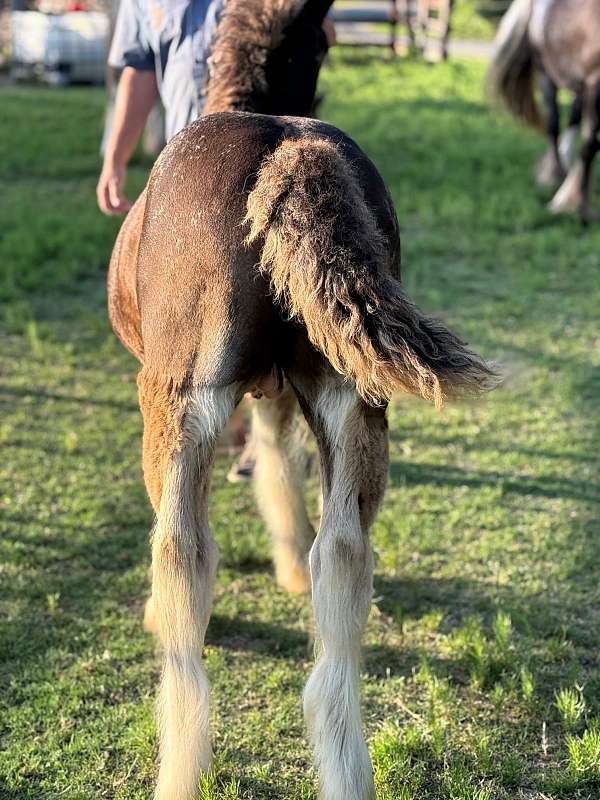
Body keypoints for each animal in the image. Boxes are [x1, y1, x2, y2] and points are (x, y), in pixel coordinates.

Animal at [107, 1, 495, 797]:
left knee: (183, 551)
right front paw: (286, 569)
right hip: (354, 401)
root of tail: (289, 149)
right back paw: (345, 763)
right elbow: (279, 467)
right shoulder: (280, 392)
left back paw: (180, 761)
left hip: (179, 401)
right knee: (342, 556)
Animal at [487, 0, 600, 221]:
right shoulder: (595, 84)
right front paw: (578, 208)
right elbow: (589, 147)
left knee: (573, 120)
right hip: (545, 72)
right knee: (553, 124)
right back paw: (556, 176)